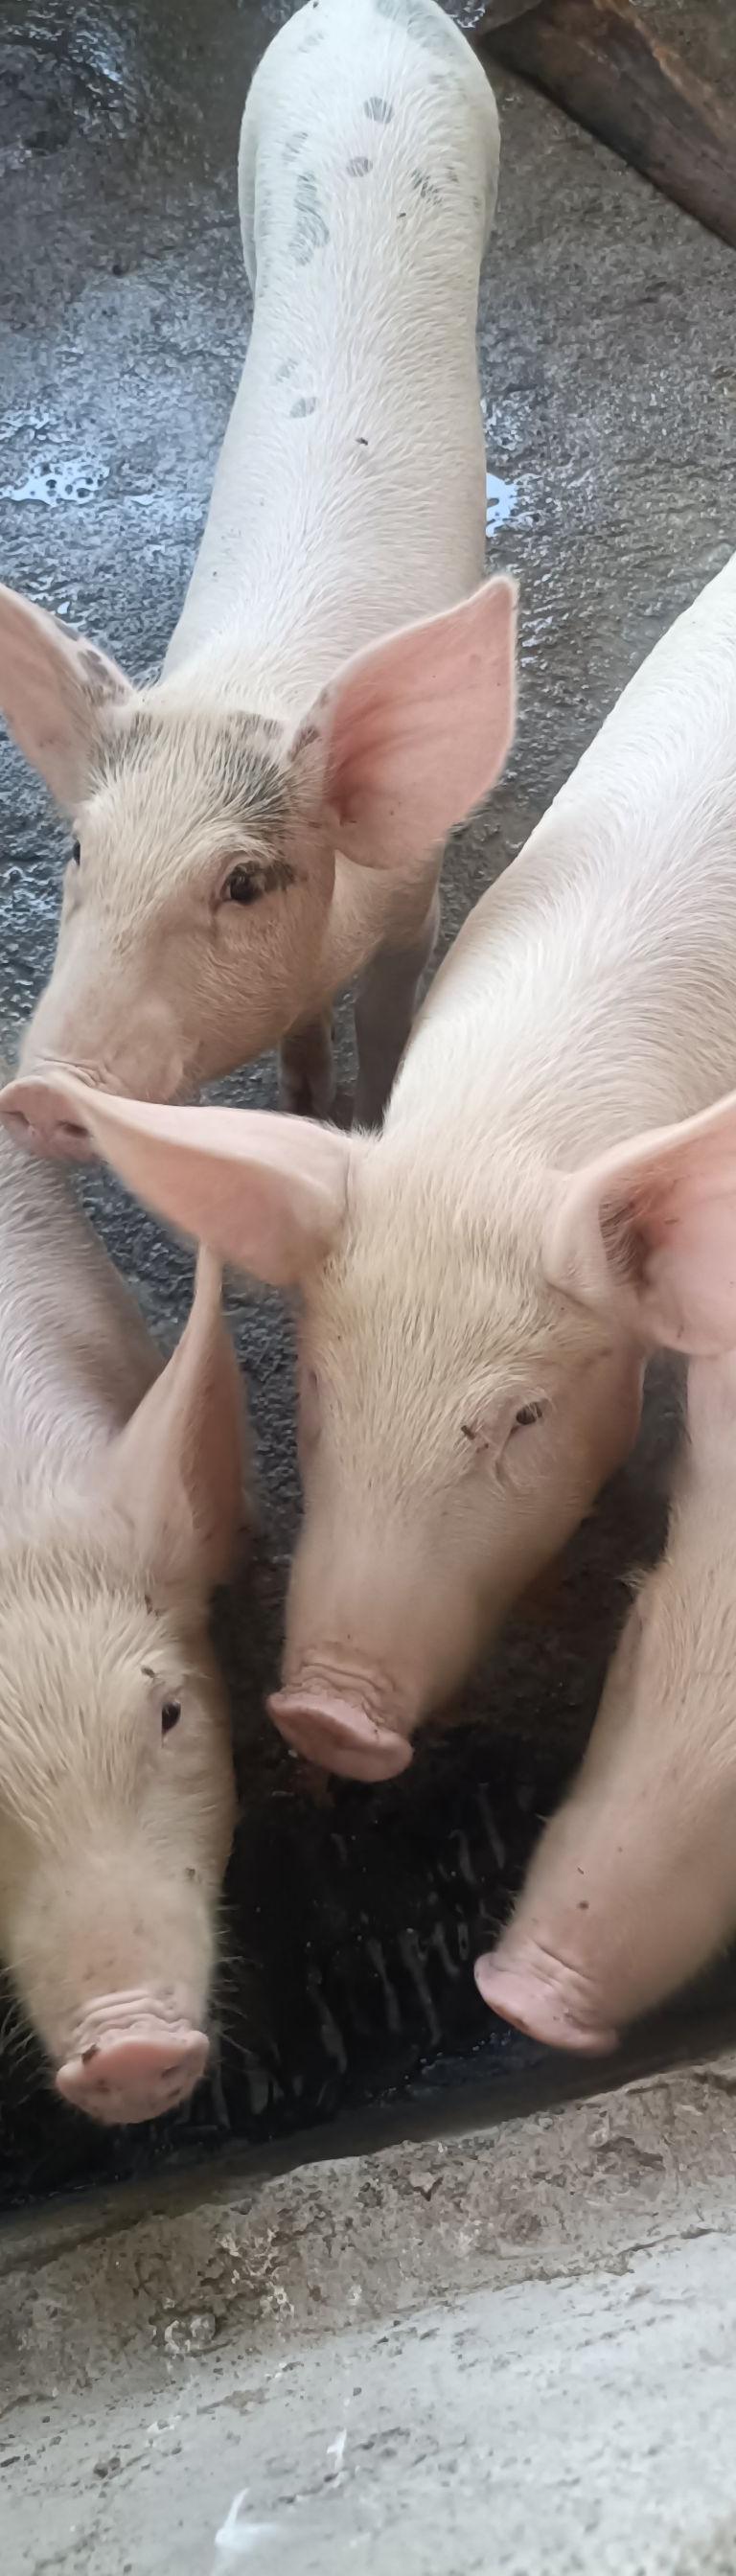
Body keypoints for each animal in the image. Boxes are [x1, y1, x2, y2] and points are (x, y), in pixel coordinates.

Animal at [0, 0, 506, 1138]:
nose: (39, 1090)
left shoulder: (418, 888)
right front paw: (305, 1101)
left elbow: (388, 1014)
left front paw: (361, 1115)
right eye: (79, 850)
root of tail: (371, 9)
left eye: (240, 883)